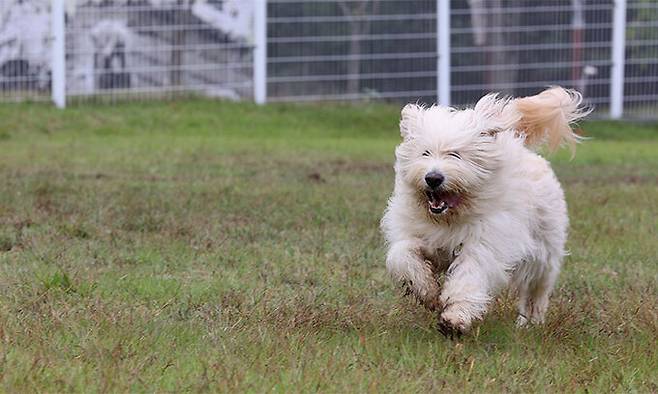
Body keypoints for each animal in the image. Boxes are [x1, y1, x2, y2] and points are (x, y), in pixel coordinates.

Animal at [382, 86, 588, 336]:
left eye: (455, 154)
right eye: (425, 153)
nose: (433, 178)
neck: (449, 219)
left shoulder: (484, 245)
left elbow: (469, 276)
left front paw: (454, 319)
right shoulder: (415, 233)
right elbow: (402, 256)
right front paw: (427, 292)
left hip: (543, 252)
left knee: (536, 289)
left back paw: (530, 322)